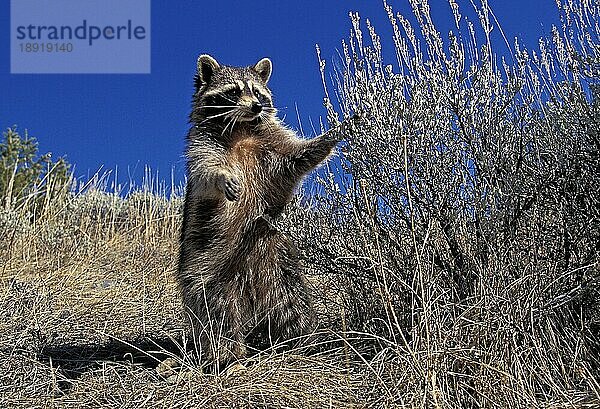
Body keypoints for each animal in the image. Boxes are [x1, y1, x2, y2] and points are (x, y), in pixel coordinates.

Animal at [178, 52, 344, 368]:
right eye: (234, 91)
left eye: (257, 92)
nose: (256, 106)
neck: (241, 128)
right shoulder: (202, 145)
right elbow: (206, 171)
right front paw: (222, 177)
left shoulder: (273, 143)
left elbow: (298, 157)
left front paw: (328, 138)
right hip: (207, 268)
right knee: (217, 315)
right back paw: (227, 357)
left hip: (279, 265)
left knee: (292, 310)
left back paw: (299, 346)